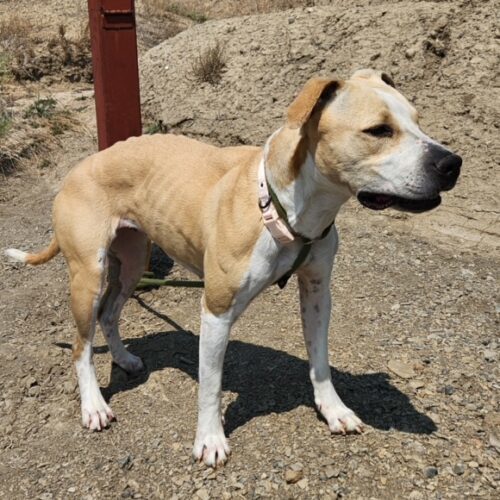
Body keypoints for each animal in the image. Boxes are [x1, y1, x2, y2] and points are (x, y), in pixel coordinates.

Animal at [4, 70, 460, 468]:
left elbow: (320, 360)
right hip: (89, 273)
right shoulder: (217, 310)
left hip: (134, 261)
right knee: (81, 345)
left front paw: (333, 409)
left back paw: (125, 359)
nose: (452, 162)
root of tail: (78, 167)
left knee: (110, 314)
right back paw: (94, 406)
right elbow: (210, 384)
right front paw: (209, 439)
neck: (286, 206)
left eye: (418, 122)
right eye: (379, 130)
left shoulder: (317, 292)